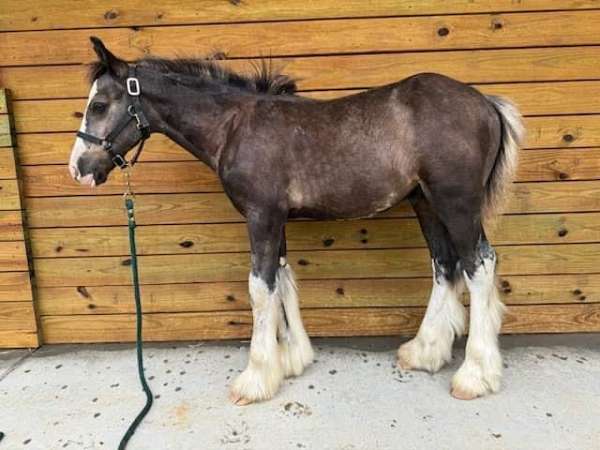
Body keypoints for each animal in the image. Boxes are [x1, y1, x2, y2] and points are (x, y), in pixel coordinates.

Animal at [68, 37, 524, 404]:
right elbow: (281, 279)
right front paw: (290, 360)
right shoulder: (276, 220)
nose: (79, 169)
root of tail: (487, 104)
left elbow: (260, 288)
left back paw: (474, 375)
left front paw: (254, 379)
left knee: (479, 266)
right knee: (445, 265)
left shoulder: (261, 217)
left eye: (99, 105)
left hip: (456, 204)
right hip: (426, 204)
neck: (234, 125)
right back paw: (425, 352)